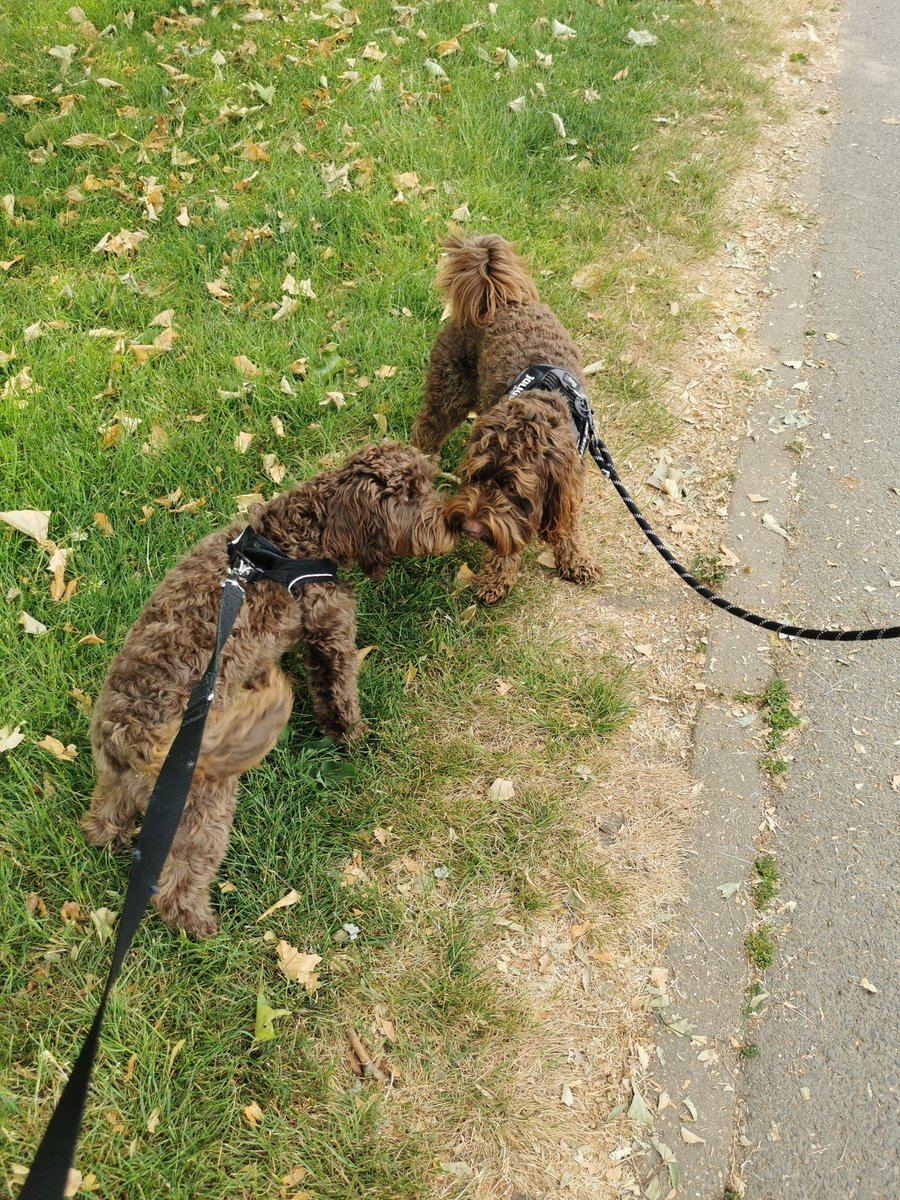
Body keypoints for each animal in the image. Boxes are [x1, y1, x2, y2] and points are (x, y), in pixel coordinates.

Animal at [84, 441, 458, 936]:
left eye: (430, 482)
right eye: (410, 495)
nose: (454, 520)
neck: (305, 532)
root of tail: (132, 733)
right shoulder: (329, 632)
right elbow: (339, 696)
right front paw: (355, 740)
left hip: (116, 780)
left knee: (105, 816)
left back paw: (107, 837)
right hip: (202, 806)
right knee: (180, 877)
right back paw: (197, 923)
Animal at [410, 235, 600, 604]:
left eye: (512, 488)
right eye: (477, 476)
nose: (469, 527)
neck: (541, 401)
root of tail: (500, 299)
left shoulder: (571, 479)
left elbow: (568, 524)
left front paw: (576, 558)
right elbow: (506, 543)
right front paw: (495, 578)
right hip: (451, 389)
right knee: (427, 428)